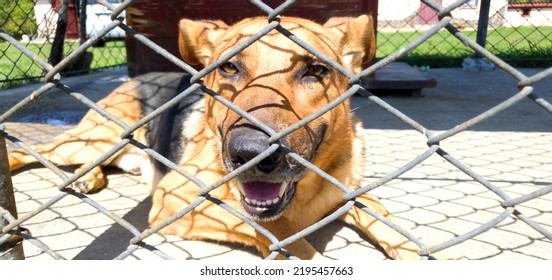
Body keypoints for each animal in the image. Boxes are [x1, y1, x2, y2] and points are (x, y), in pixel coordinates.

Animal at [10, 14, 430, 260]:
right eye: (229, 68)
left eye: (315, 70)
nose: (252, 155)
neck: (304, 195)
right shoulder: (177, 199)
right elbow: (278, 233)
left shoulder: (356, 194)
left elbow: (396, 231)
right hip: (100, 138)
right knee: (37, 151)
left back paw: (88, 179)